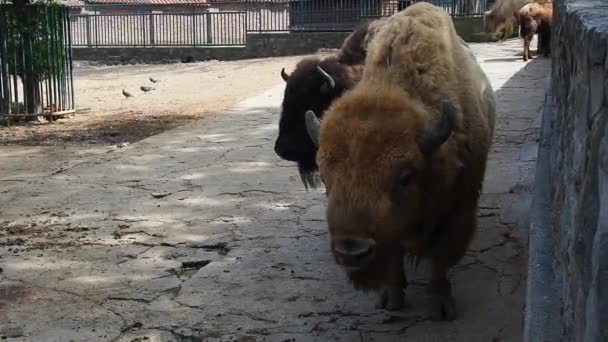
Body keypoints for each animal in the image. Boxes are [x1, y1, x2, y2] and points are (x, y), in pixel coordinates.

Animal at [306, 2, 496, 320]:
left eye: (405, 177)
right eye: (324, 176)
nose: (351, 251)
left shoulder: (460, 207)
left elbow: (440, 259)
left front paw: (442, 306)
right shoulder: (389, 232)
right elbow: (394, 258)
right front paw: (391, 299)